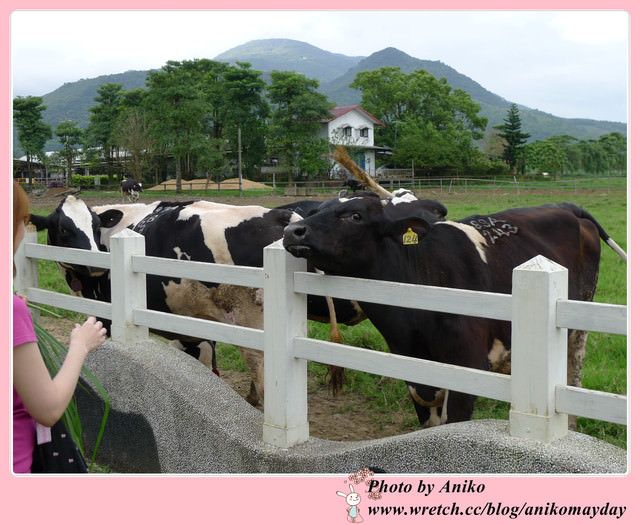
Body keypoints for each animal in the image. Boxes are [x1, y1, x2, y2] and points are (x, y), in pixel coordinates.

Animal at [282, 194, 628, 428]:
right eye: (316, 211)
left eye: (354, 216)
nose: (292, 231)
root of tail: (565, 206)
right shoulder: (415, 374)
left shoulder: (468, 369)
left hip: (579, 323)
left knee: (573, 372)